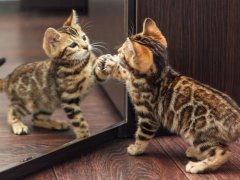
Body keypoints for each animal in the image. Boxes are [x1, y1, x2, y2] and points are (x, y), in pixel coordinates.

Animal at [0, 9, 104, 139]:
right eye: (73, 45)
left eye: (84, 38)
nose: (86, 47)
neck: (80, 64)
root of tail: (8, 78)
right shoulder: (69, 99)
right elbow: (79, 121)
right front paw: (84, 137)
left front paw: (106, 62)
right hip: (26, 103)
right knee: (12, 109)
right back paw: (18, 125)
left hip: (47, 102)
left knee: (36, 118)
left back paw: (56, 124)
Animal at [95, 18, 240, 173]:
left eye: (123, 52)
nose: (117, 51)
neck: (157, 73)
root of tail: (236, 117)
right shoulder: (131, 76)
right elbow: (124, 71)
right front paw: (109, 63)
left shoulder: (148, 116)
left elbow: (142, 135)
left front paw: (136, 149)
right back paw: (196, 153)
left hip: (198, 133)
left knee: (223, 152)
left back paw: (197, 166)